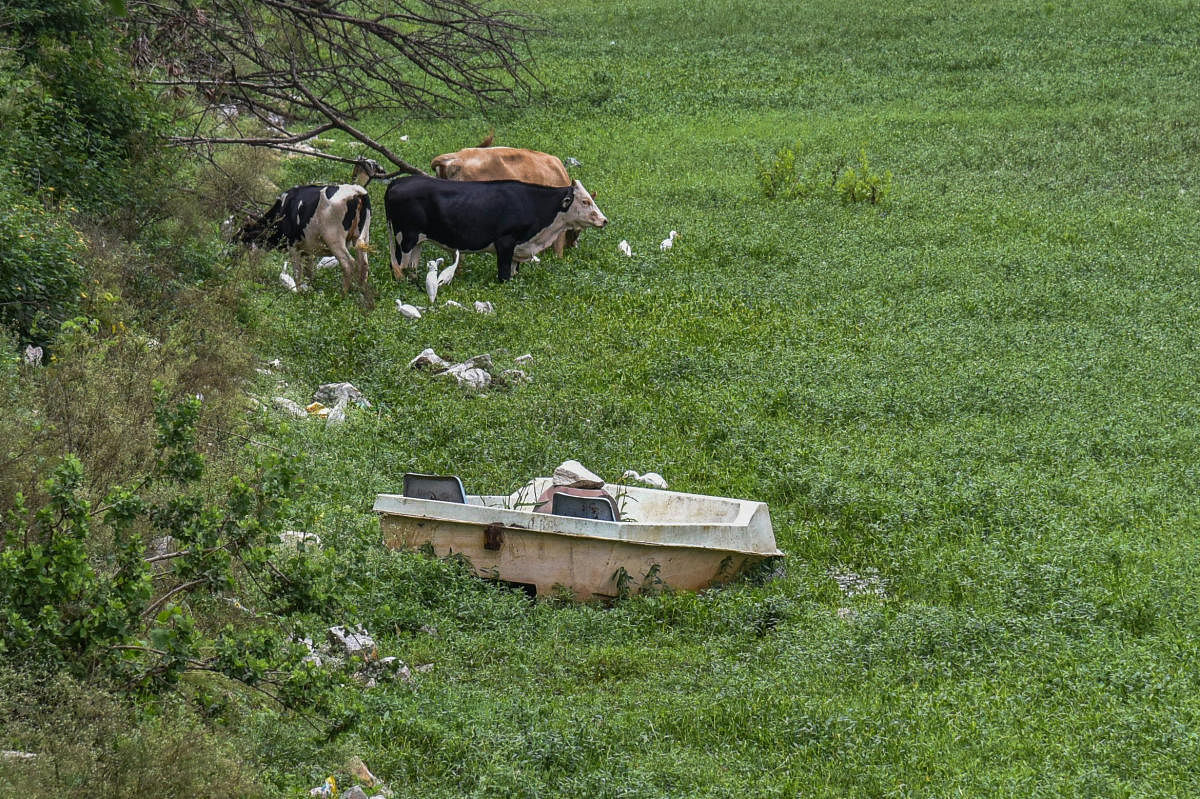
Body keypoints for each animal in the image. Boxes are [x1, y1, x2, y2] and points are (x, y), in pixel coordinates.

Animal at [384, 176, 609, 281]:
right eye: (585, 201)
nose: (604, 220)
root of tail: (398, 181)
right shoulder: (505, 242)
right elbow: (504, 273)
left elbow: (514, 271)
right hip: (405, 239)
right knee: (399, 265)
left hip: (417, 241)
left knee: (412, 265)